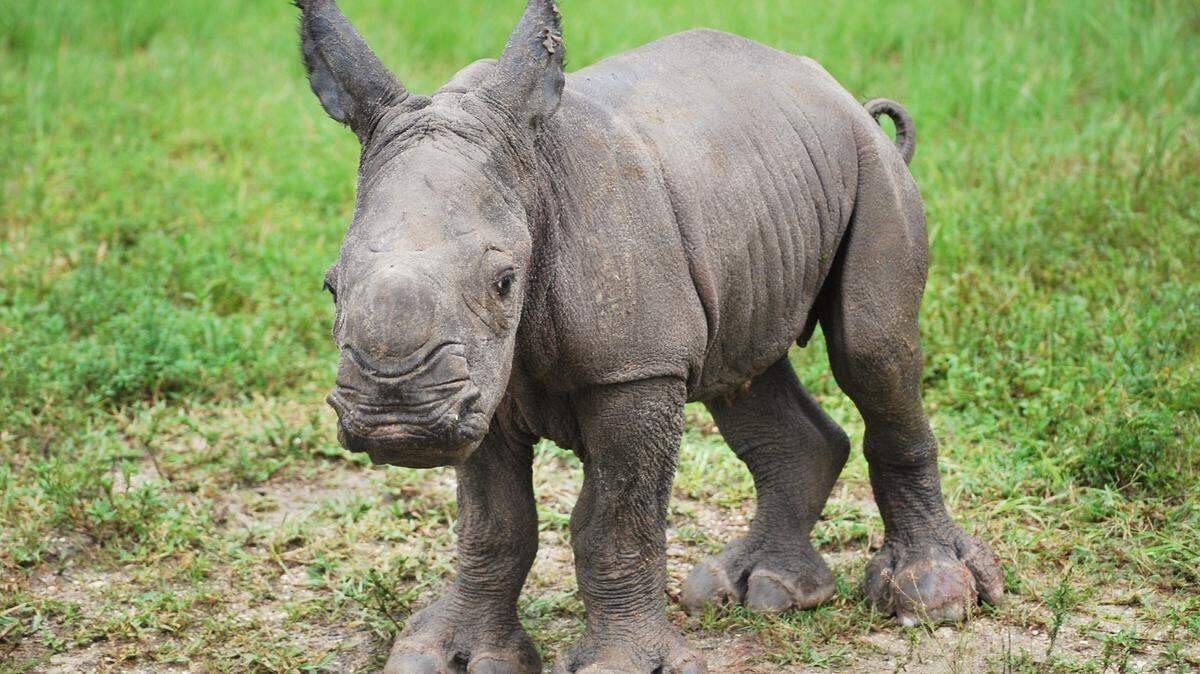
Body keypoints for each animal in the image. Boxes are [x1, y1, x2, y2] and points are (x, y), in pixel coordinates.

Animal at [294, 1, 1003, 672]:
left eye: (504, 282)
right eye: (330, 285)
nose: (398, 419)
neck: (530, 176)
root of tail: (842, 96)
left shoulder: (634, 367)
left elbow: (616, 524)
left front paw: (618, 664)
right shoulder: (479, 382)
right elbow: (494, 525)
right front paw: (451, 657)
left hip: (870, 169)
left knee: (871, 354)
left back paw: (932, 598)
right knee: (742, 375)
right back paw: (759, 592)